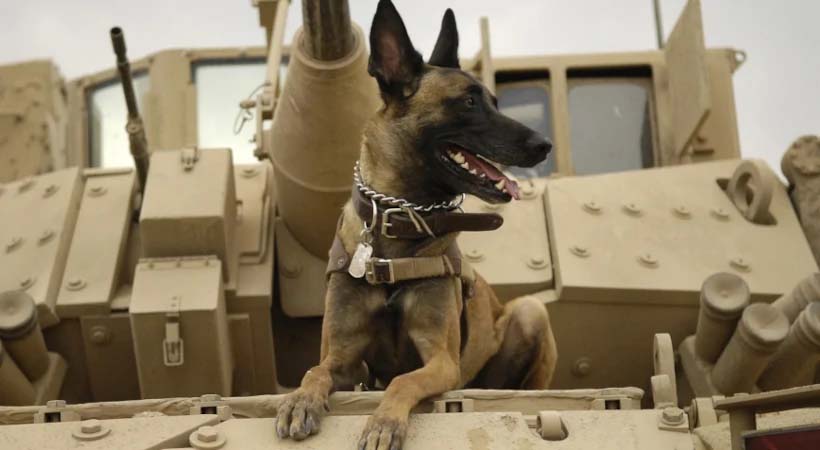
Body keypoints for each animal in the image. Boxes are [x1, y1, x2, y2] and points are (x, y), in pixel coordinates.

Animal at [278, 1, 556, 448]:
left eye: (494, 101)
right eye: (469, 102)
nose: (543, 145)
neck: (397, 223)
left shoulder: (441, 361)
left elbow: (402, 381)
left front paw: (384, 422)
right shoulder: (343, 359)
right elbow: (314, 370)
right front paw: (301, 401)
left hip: (530, 313)